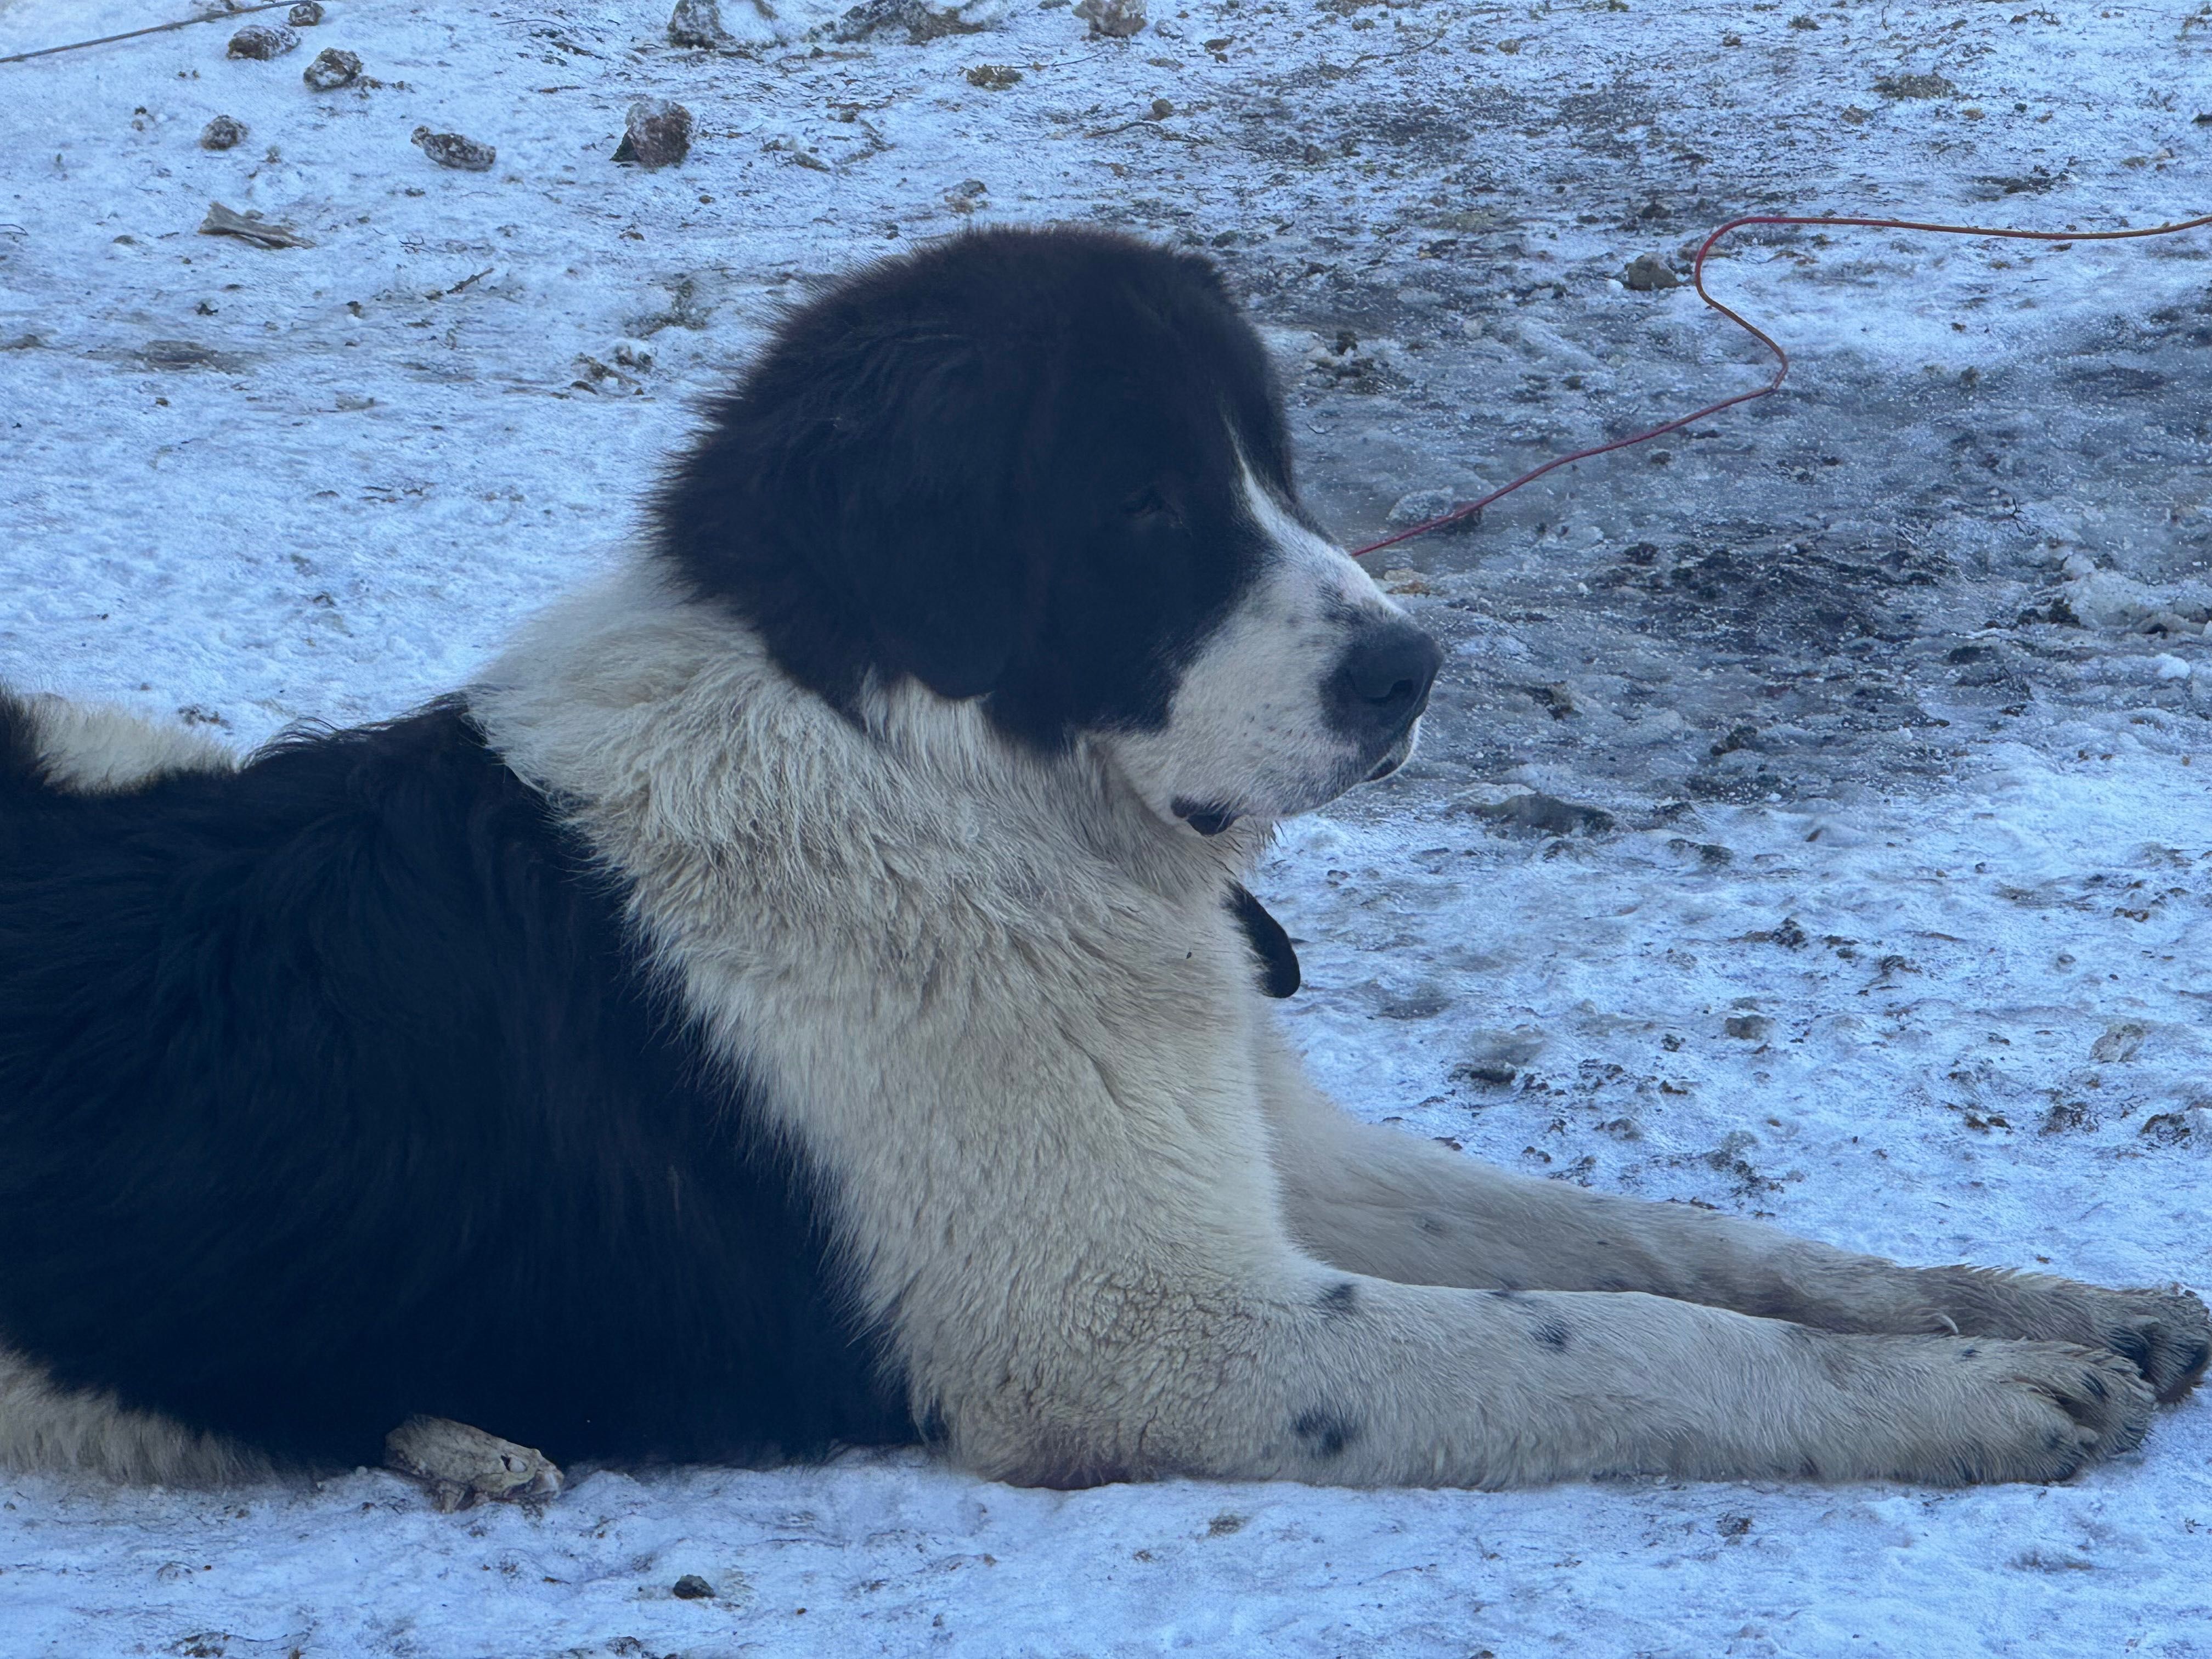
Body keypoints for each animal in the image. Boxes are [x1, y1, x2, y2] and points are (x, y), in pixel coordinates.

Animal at [0, 228, 2203, 1504]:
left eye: (1269, 464)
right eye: (1139, 503)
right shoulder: (1152, 1332)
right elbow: (1623, 1342)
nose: (1412, 668)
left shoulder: (1270, 1157)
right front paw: (1979, 1391)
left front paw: (2048, 1301)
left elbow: (1683, 1246)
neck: (923, 776)